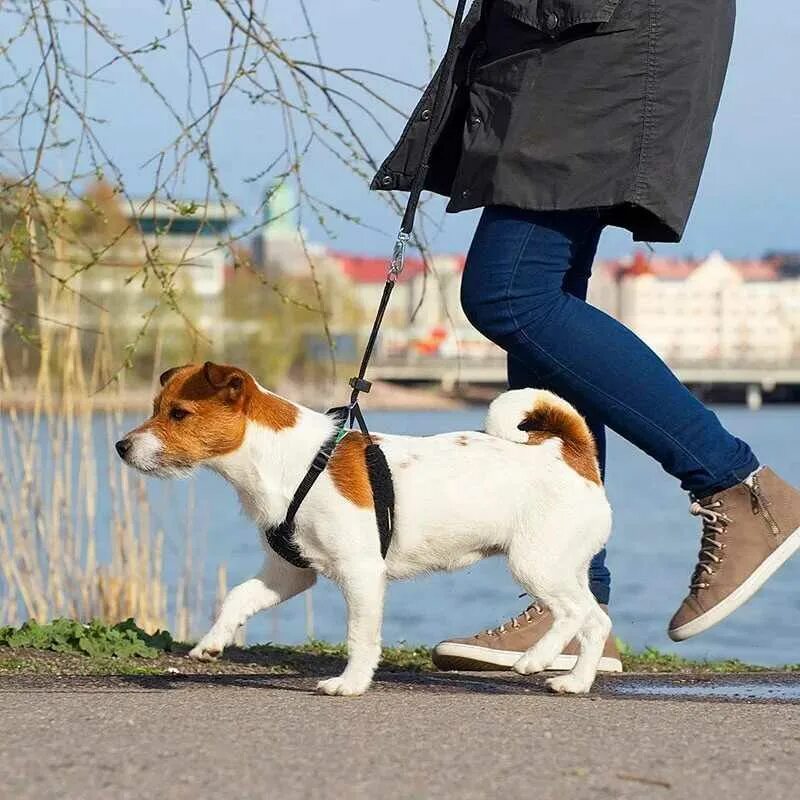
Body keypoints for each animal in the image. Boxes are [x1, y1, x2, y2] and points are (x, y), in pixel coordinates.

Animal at [114, 362, 612, 692]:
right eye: (155, 408)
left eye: (179, 414)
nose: (121, 446)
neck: (291, 462)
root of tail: (570, 452)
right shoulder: (288, 573)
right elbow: (238, 596)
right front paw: (213, 643)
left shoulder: (361, 573)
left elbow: (360, 636)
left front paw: (350, 683)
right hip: (563, 567)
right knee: (595, 620)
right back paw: (571, 678)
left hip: (536, 564)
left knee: (575, 614)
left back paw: (539, 661)